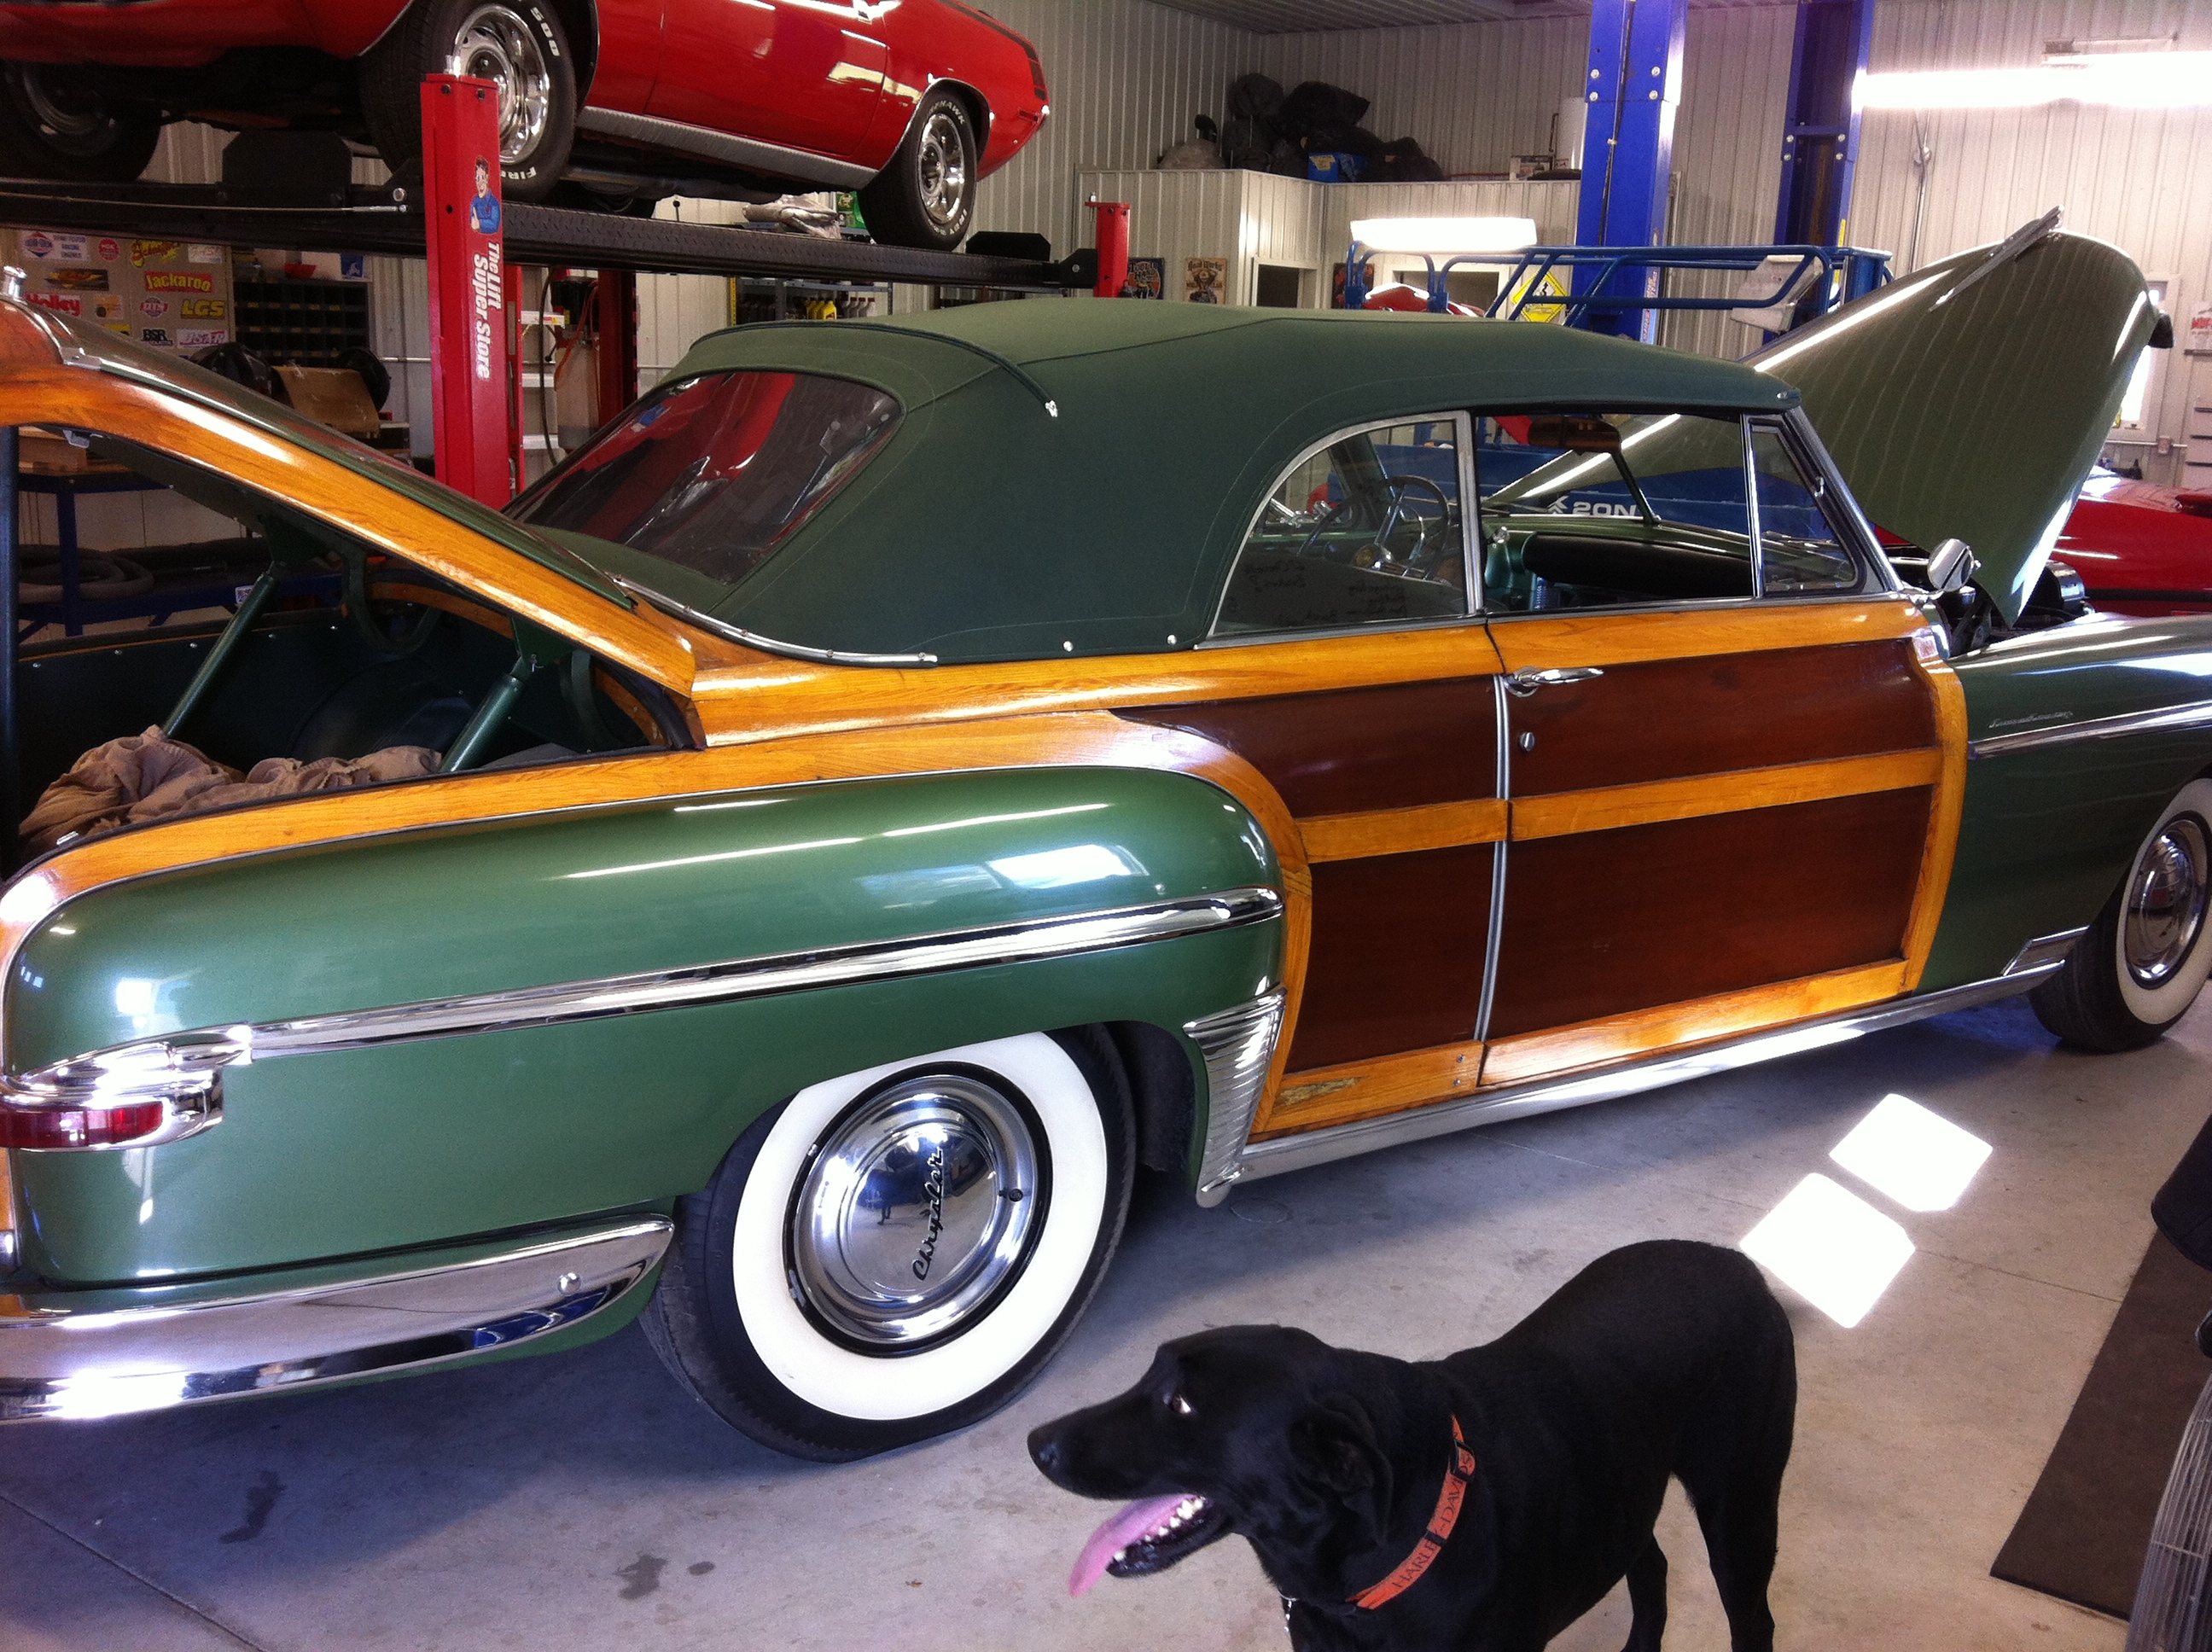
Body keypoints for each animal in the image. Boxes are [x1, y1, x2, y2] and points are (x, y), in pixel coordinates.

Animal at [1026, 1238, 1787, 1652]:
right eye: (1148, 1373)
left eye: (1180, 1403)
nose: (1037, 1443)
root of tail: (1740, 1263)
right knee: (1649, 1563)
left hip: (1741, 1510)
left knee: (1754, 1619)